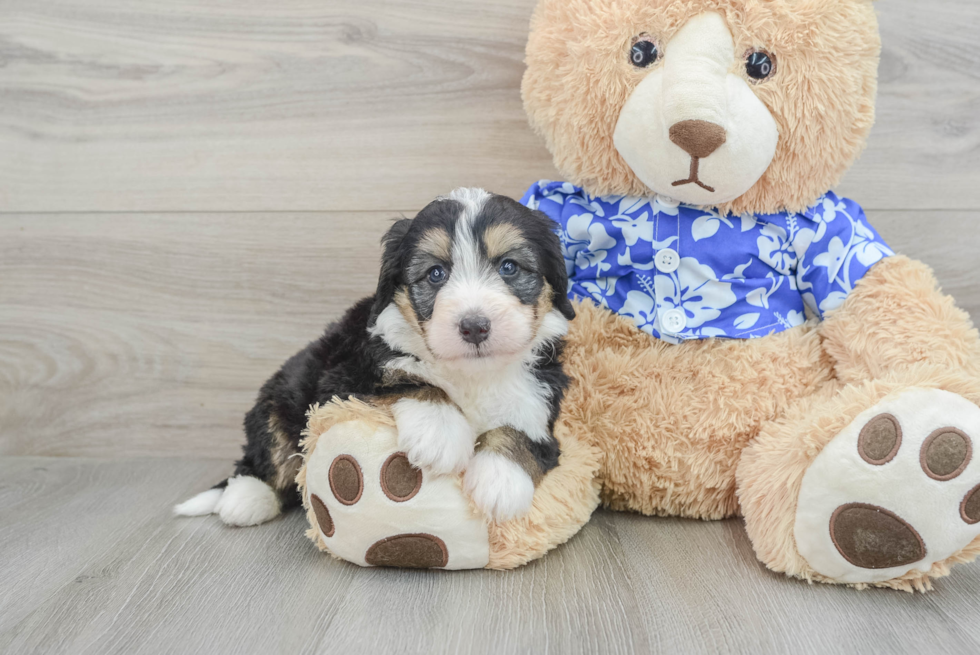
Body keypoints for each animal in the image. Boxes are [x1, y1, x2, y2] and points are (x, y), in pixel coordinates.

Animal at [175, 190, 576, 528]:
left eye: (509, 267)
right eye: (436, 274)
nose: (474, 326)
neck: (471, 374)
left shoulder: (541, 400)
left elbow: (523, 433)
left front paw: (500, 481)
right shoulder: (342, 378)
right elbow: (408, 379)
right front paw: (440, 433)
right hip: (279, 397)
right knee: (264, 454)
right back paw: (244, 499)